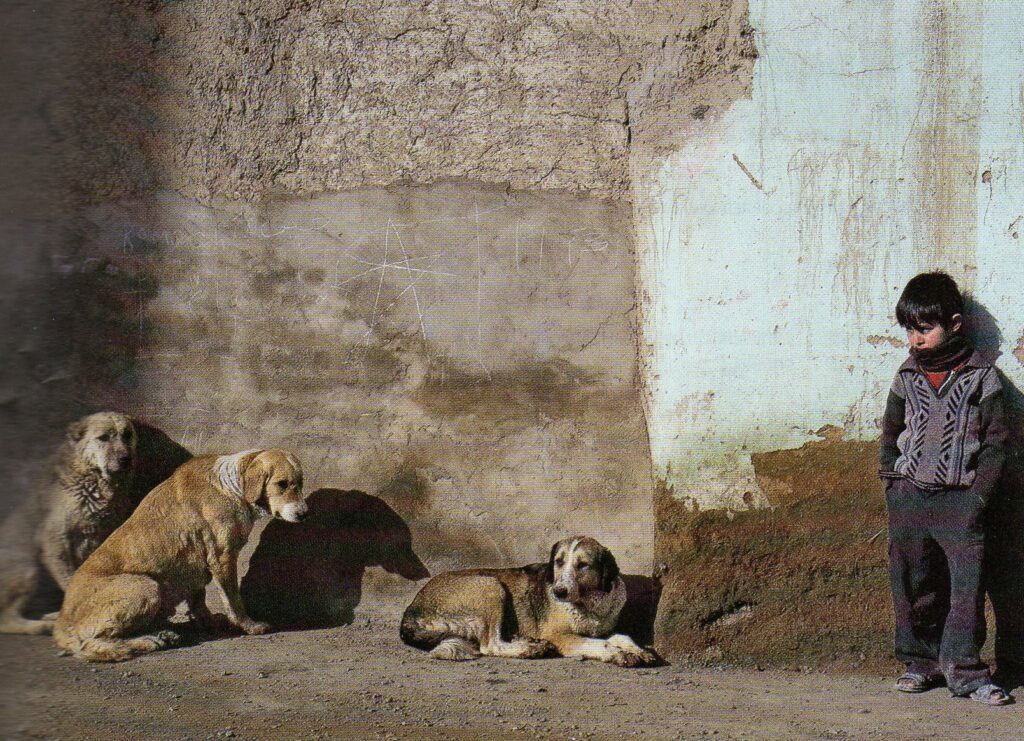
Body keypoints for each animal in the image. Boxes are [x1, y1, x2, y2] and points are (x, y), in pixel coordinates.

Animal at [0, 411, 136, 638]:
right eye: (103, 438)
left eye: (127, 435)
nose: (125, 459)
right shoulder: (56, 540)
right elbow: (71, 580)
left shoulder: (99, 538)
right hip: (28, 568)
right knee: (6, 619)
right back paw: (41, 626)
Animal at [54, 446, 305, 659]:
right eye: (282, 484)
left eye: (301, 484)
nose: (304, 514)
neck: (234, 487)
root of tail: (61, 622)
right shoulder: (222, 557)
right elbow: (233, 599)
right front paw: (248, 625)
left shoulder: (196, 566)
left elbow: (199, 601)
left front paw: (209, 623)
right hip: (145, 586)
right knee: (91, 645)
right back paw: (144, 642)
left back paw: (162, 633)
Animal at [399, 532, 655, 667]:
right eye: (559, 562)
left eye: (583, 565)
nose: (558, 592)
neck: (590, 603)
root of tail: (412, 608)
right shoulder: (559, 635)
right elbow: (599, 644)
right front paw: (617, 653)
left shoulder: (603, 629)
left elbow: (621, 636)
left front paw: (638, 650)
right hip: (490, 585)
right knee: (490, 644)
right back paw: (529, 649)